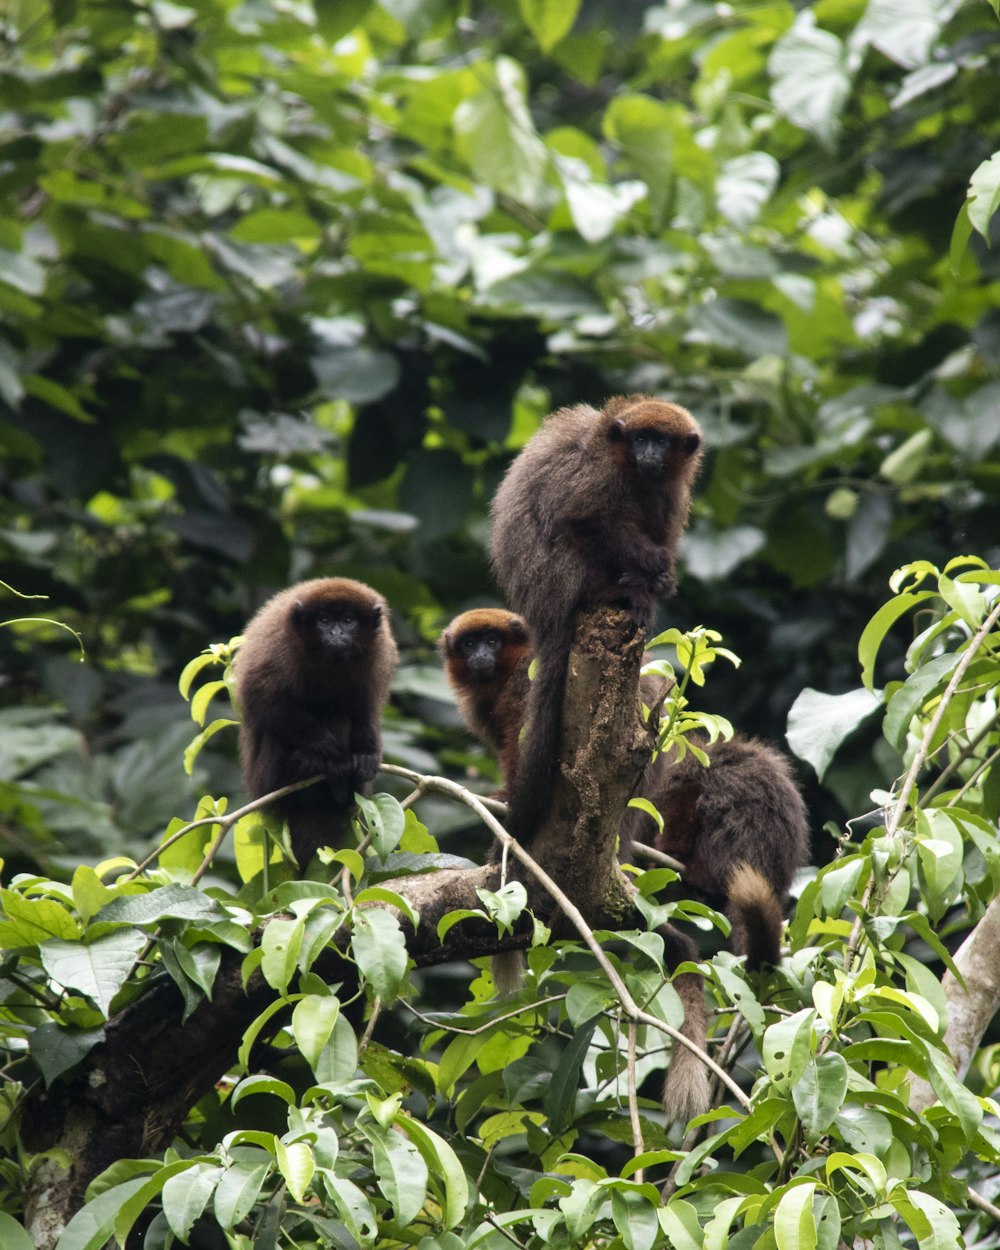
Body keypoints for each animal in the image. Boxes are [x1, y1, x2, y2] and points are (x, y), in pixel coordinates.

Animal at [237, 577, 397, 865]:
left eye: (348, 620)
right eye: (324, 620)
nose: (336, 633)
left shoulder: (381, 652)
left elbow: (365, 711)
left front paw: (367, 755)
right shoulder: (277, 639)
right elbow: (259, 696)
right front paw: (324, 745)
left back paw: (343, 787)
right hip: (264, 780)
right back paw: (303, 765)